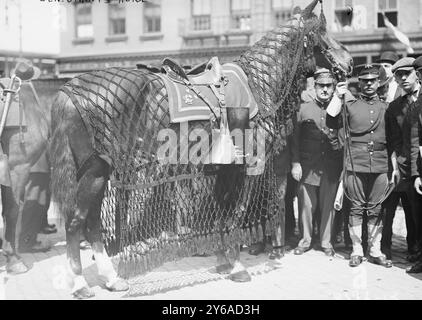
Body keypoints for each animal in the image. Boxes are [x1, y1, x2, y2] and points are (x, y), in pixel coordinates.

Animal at [48, 0, 352, 300]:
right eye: (321, 32)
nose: (348, 61)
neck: (256, 84)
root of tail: (69, 90)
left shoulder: (220, 171)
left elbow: (220, 212)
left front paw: (222, 259)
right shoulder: (244, 167)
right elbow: (236, 214)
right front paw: (237, 265)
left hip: (99, 172)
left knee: (92, 223)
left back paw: (111, 279)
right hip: (95, 172)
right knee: (76, 222)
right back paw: (80, 284)